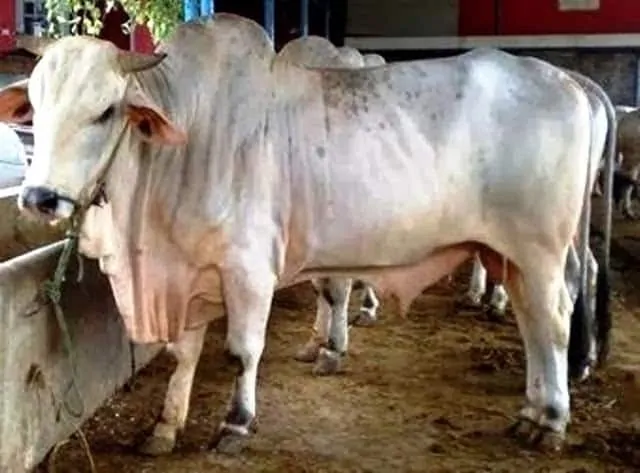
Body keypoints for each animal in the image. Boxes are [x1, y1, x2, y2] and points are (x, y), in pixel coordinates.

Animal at [0, 13, 615, 456]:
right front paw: (165, 426)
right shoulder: (189, 271)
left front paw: (236, 423)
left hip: (539, 250)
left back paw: (552, 418)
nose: (39, 197)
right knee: (533, 324)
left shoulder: (248, 271)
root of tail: (567, 81)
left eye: (107, 110)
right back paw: (532, 410)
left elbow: (243, 350)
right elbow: (184, 355)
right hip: (509, 254)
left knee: (554, 321)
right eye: (36, 106)